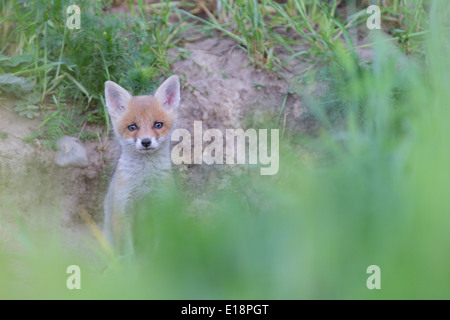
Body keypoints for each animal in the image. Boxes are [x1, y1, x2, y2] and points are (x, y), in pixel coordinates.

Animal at [103, 75, 180, 255]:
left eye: (158, 124)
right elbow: (127, 252)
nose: (145, 142)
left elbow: (161, 248)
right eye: (132, 127)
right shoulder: (122, 209)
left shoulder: (163, 208)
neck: (145, 183)